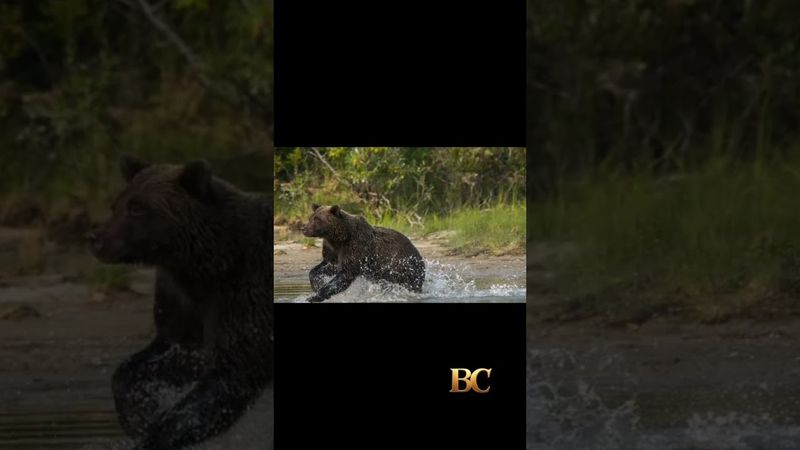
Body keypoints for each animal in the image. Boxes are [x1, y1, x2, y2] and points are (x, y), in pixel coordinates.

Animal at [86, 155, 273, 450]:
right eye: (115, 205)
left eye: (137, 208)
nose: (95, 239)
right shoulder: (183, 303)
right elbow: (172, 353)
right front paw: (139, 414)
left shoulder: (244, 295)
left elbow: (230, 373)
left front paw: (155, 434)